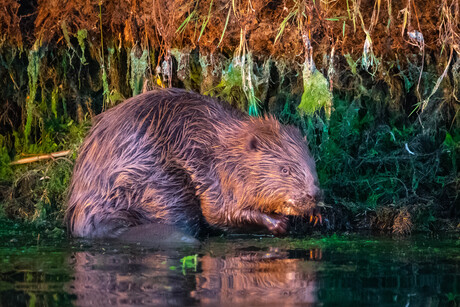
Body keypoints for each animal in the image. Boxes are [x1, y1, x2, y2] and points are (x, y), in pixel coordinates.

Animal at [65, 88, 320, 239]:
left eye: (313, 164)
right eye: (285, 169)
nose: (313, 194)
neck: (224, 149)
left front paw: (316, 215)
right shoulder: (214, 175)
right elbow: (219, 213)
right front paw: (278, 222)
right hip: (160, 186)